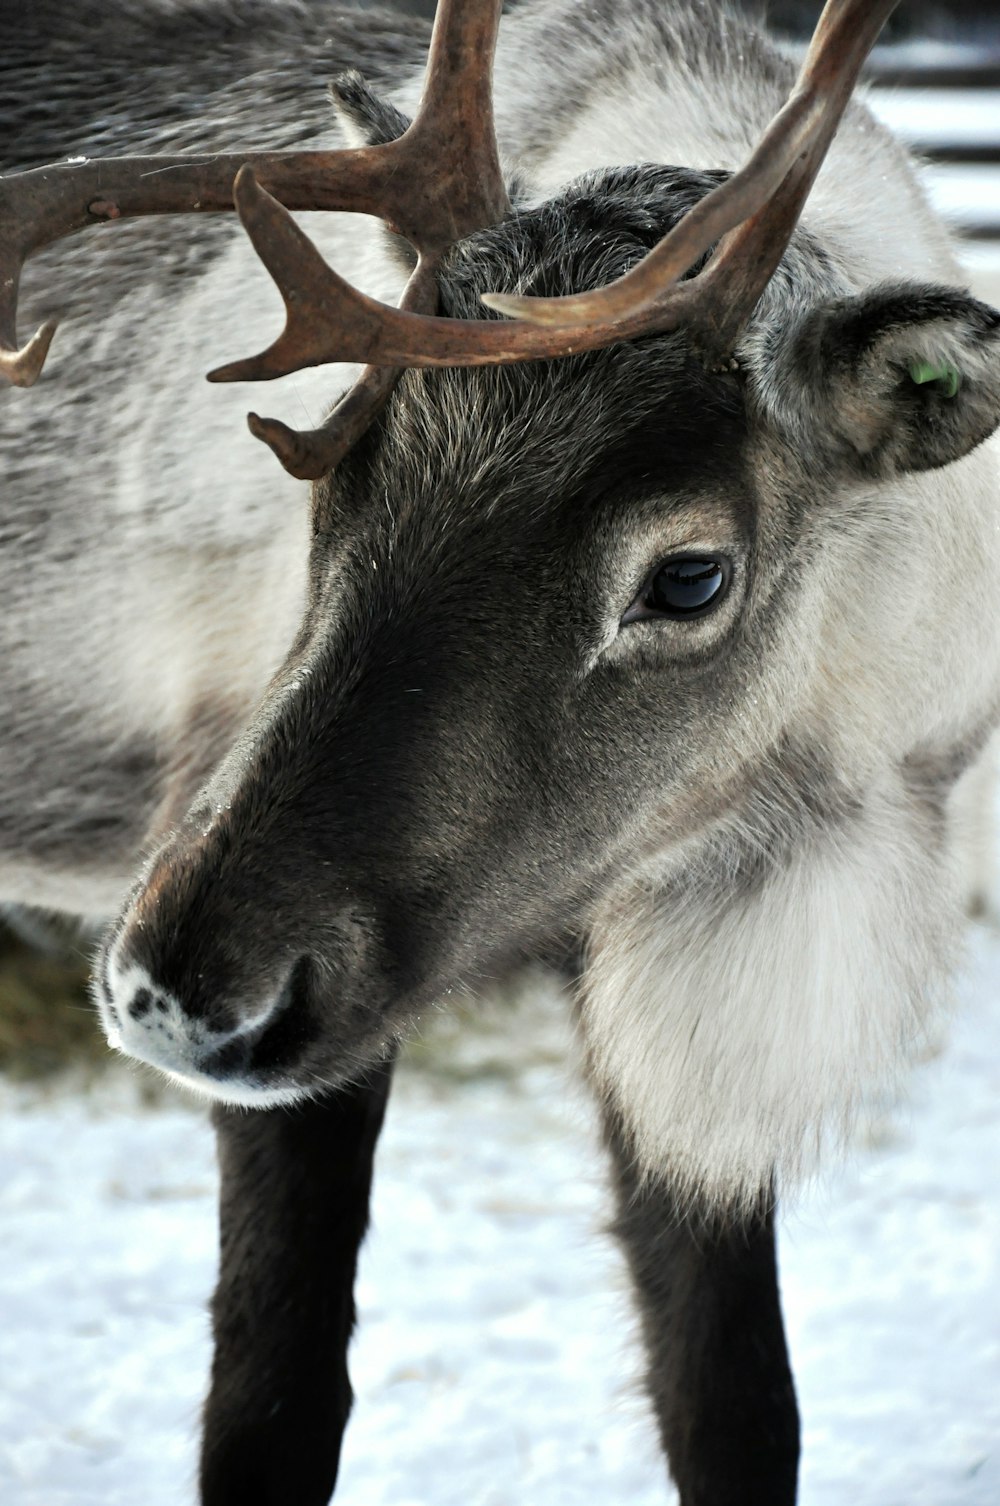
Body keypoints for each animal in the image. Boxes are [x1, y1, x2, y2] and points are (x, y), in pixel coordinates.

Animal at [3, 0, 1000, 1502]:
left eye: (689, 576)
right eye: (328, 480)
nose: (175, 996)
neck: (823, 797)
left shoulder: (677, 975)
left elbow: (734, 1406)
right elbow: (269, 1418)